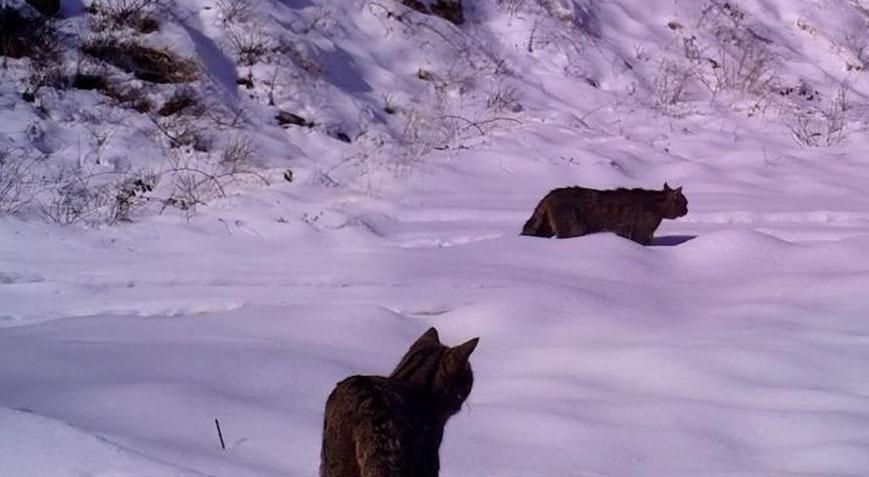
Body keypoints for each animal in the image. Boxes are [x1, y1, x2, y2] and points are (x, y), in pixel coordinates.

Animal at [520, 180, 688, 244]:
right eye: (685, 202)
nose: (687, 210)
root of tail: (551, 194)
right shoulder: (641, 233)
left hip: (545, 227)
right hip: (573, 227)